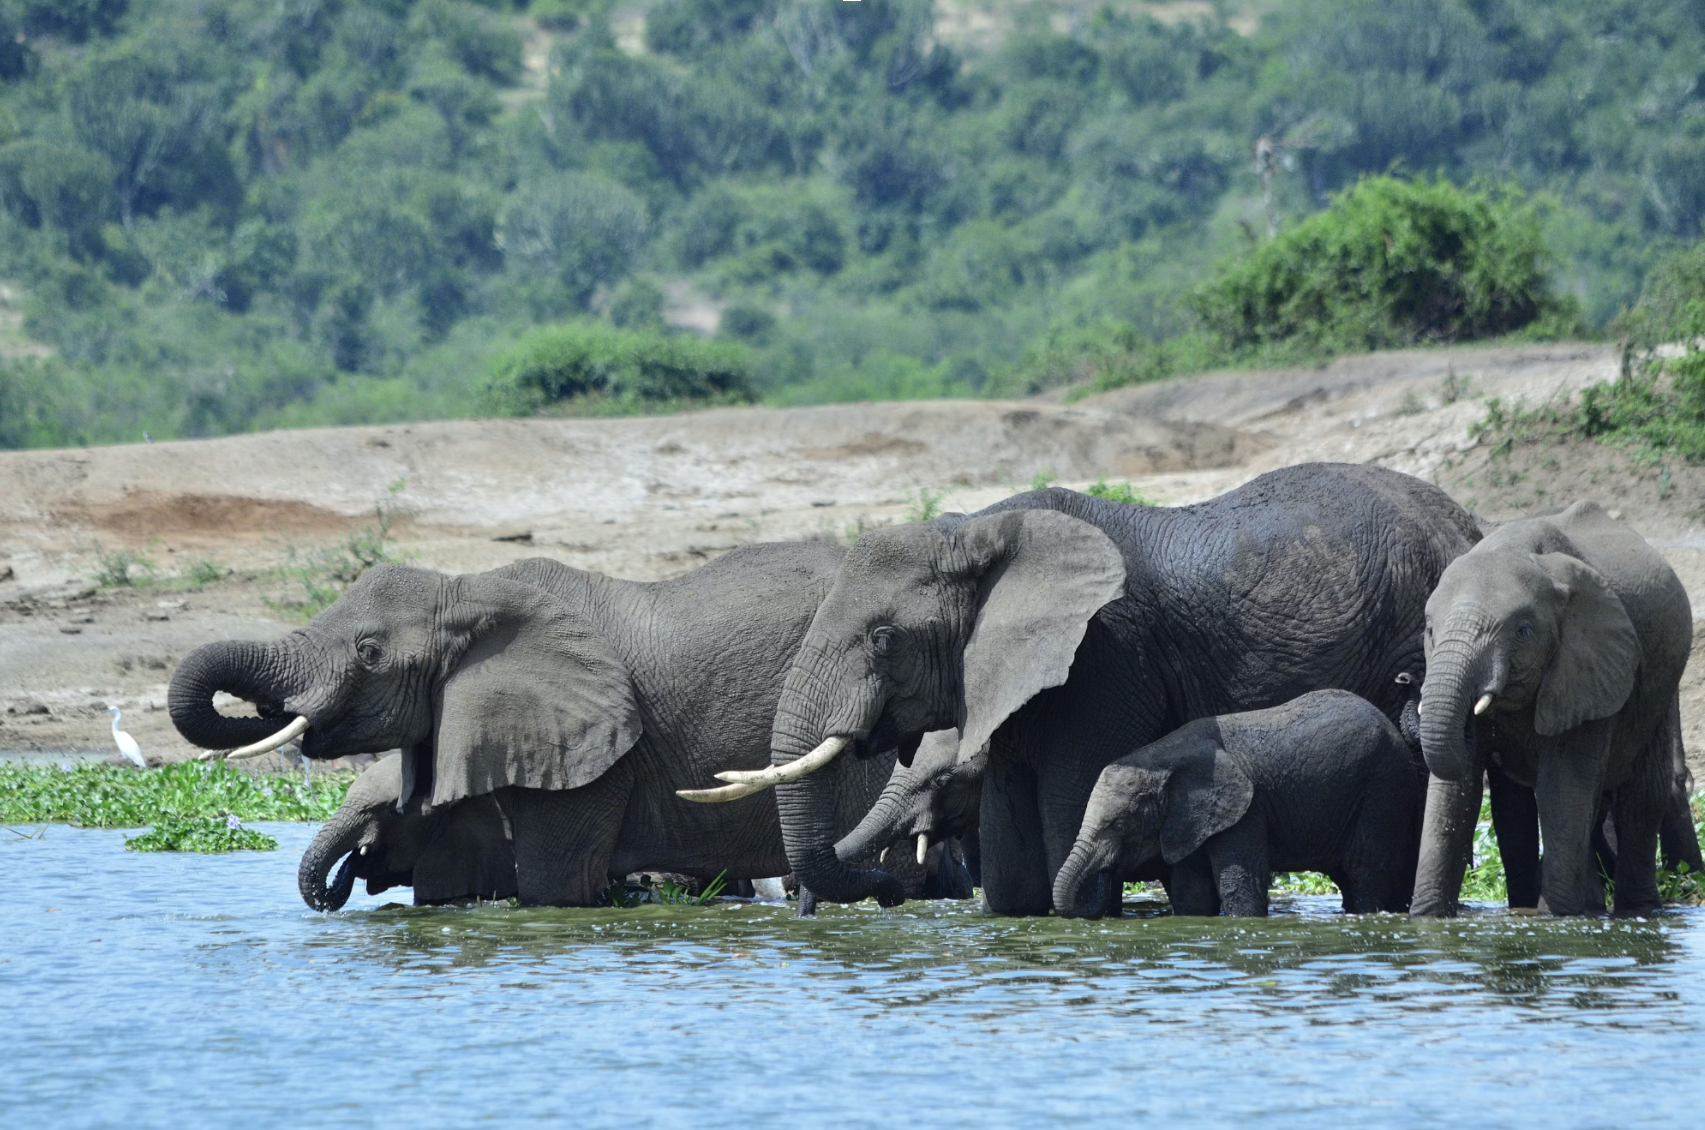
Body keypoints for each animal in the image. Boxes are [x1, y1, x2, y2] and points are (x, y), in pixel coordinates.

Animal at [1053, 689, 1428, 918]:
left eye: (1119, 825)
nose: (1106, 873)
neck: (1161, 758)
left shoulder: (1245, 811)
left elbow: (1239, 886)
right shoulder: (1188, 821)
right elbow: (1192, 895)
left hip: (1383, 789)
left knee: (1364, 873)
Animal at [1413, 499, 1703, 916]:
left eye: (1523, 631)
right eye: (1430, 630)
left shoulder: (1589, 668)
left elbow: (1562, 790)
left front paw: (1554, 920)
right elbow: (1453, 795)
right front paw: (1426, 919)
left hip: (1662, 684)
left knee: (1642, 795)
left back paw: (1636, 910)